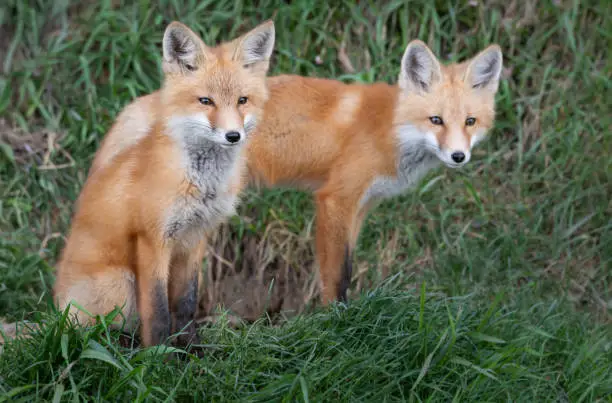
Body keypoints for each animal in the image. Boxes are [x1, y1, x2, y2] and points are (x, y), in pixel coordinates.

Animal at [53, 19, 276, 348]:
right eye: (206, 101)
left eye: (242, 100)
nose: (233, 136)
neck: (200, 184)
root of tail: (54, 309)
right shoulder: (153, 239)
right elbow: (157, 310)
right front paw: (159, 355)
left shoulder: (195, 238)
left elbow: (185, 303)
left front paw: (192, 350)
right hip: (120, 283)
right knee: (90, 333)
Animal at [83, 40, 502, 306]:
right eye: (436, 120)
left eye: (469, 121)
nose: (459, 156)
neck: (392, 129)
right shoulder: (335, 199)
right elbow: (337, 274)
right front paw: (337, 321)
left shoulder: (362, 206)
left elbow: (346, 264)